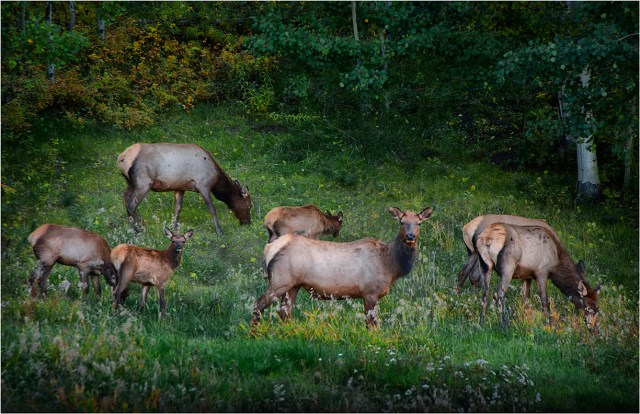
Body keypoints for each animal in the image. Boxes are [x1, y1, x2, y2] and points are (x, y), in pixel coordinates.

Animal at [118, 143, 251, 234]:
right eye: (249, 205)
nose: (247, 223)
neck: (216, 177)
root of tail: (122, 158)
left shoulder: (180, 187)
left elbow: (178, 208)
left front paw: (174, 227)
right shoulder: (203, 185)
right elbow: (212, 209)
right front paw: (220, 231)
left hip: (130, 182)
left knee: (125, 197)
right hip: (143, 182)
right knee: (131, 205)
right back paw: (138, 230)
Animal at [252, 207, 433, 328]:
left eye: (419, 223)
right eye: (402, 222)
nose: (410, 236)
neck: (390, 265)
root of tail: (269, 248)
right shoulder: (370, 292)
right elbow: (372, 324)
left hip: (293, 285)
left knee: (284, 310)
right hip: (280, 281)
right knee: (258, 304)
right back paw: (254, 335)